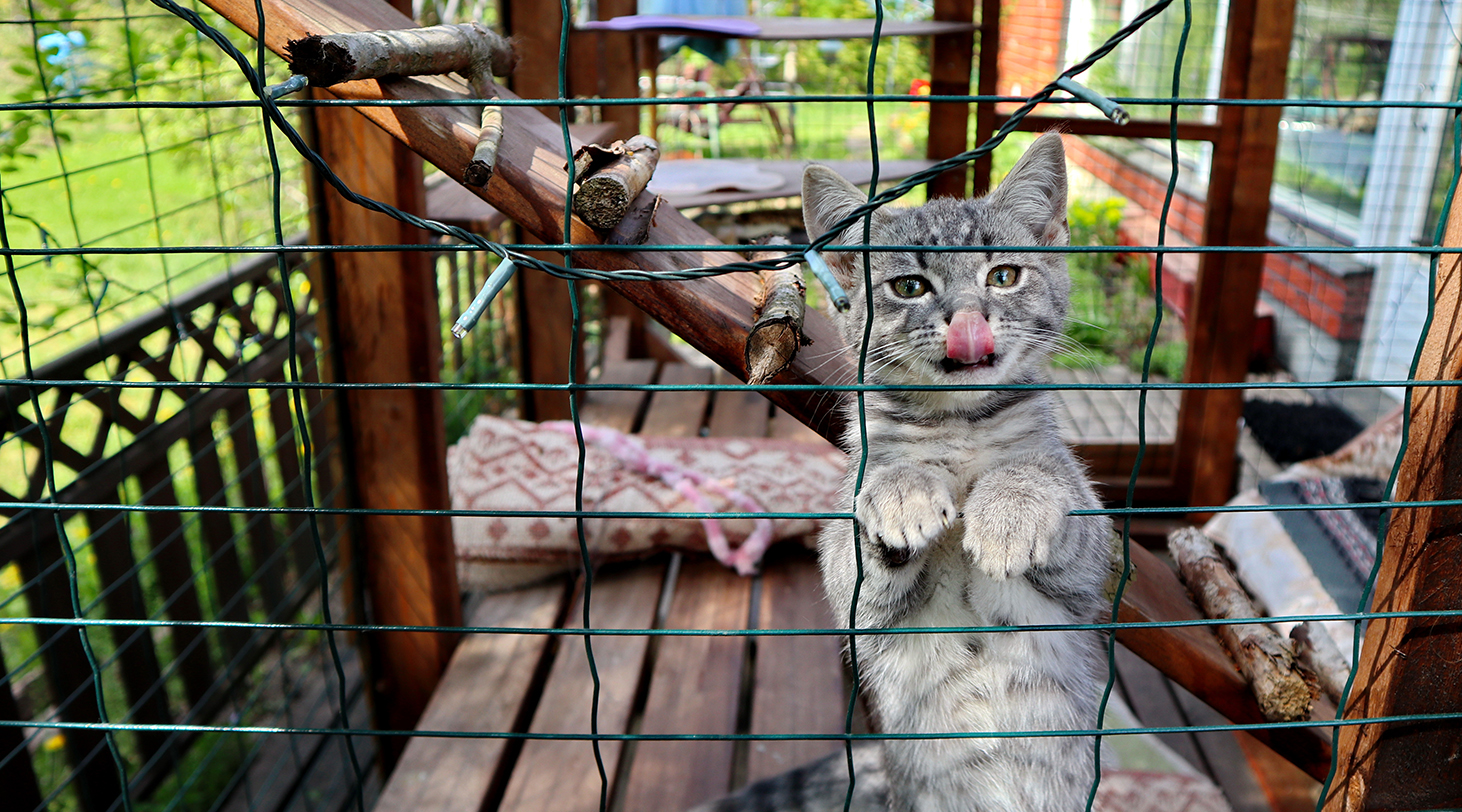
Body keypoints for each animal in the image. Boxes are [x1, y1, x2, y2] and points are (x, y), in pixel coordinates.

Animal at [695, 135, 1105, 812]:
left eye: (1004, 275)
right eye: (910, 286)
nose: (968, 320)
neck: (957, 429)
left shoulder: (1090, 573)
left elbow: (1047, 479)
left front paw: (1011, 513)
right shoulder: (855, 596)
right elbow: (858, 546)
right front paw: (902, 494)